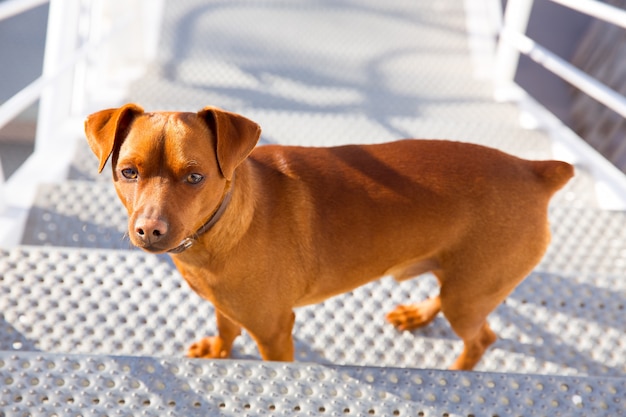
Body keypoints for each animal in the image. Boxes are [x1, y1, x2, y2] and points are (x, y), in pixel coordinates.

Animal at [85, 104, 572, 370]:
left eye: (195, 177)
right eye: (128, 172)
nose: (149, 230)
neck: (222, 228)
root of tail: (535, 171)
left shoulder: (275, 332)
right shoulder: (225, 304)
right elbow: (226, 326)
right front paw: (218, 350)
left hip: (471, 294)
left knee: (481, 339)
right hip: (462, 284)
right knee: (447, 297)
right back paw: (417, 315)